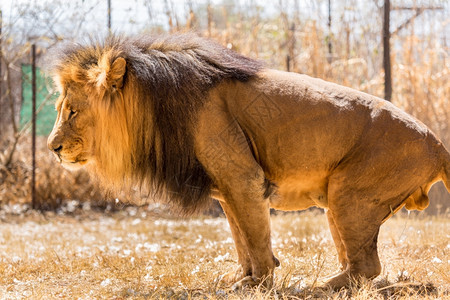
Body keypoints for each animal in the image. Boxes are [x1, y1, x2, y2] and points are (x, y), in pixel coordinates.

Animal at [46, 33, 450, 290]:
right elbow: (241, 238)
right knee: (359, 263)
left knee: (367, 265)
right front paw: (242, 279)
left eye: (72, 111)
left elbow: (255, 237)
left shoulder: (243, 179)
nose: (53, 147)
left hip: (349, 194)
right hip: (339, 203)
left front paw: (260, 283)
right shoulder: (227, 190)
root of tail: (438, 144)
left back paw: (319, 286)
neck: (155, 104)